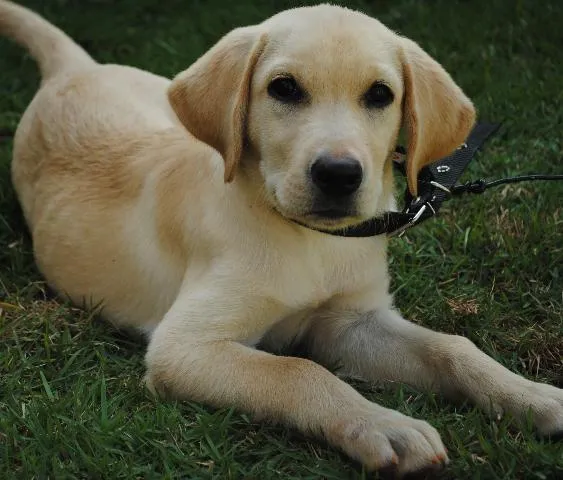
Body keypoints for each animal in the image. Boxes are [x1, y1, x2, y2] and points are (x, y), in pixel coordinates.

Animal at [1, 0, 563, 476]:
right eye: (284, 89)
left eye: (380, 95)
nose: (338, 174)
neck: (307, 238)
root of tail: (73, 69)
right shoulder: (185, 347)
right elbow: (297, 371)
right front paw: (386, 426)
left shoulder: (352, 322)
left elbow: (453, 348)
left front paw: (533, 396)